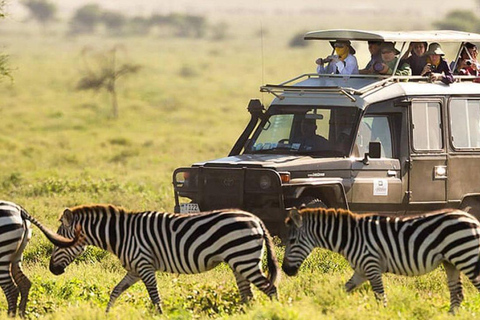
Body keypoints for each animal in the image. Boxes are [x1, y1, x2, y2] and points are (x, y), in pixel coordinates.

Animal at [47, 205, 282, 312]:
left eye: (58, 242)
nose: (52, 270)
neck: (121, 235)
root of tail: (256, 219)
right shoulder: (134, 270)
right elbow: (116, 290)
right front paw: (106, 313)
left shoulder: (144, 265)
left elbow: (154, 296)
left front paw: (160, 315)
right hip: (239, 261)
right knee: (247, 294)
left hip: (244, 259)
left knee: (270, 288)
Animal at [282, 205, 480, 312]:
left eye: (291, 241)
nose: (285, 270)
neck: (350, 237)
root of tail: (472, 218)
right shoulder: (361, 271)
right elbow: (343, 289)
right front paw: (325, 307)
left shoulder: (372, 266)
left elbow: (380, 297)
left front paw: (382, 314)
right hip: (451, 263)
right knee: (457, 296)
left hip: (467, 258)